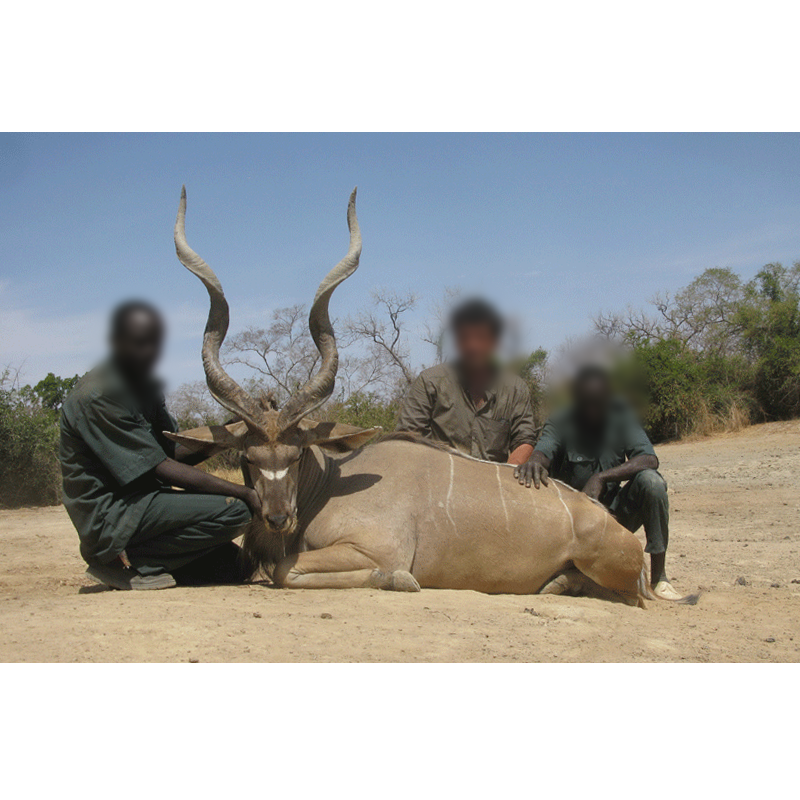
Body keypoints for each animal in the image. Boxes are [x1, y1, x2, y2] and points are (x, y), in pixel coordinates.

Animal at [167, 189, 692, 608]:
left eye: (295, 456)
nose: (277, 517)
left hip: (611, 568)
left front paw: (400, 580)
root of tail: (617, 535)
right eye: (247, 458)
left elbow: (287, 570)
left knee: (628, 595)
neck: (330, 484)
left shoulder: (373, 548)